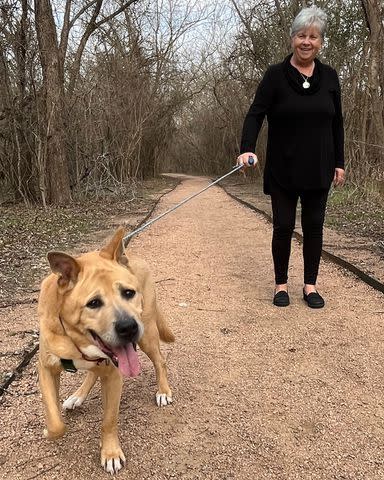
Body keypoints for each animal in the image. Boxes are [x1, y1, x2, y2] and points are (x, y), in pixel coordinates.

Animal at [37, 228, 174, 472]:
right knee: (93, 372)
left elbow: (109, 420)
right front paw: (49, 428)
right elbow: (55, 423)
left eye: (128, 293)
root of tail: (131, 258)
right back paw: (77, 396)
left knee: (160, 361)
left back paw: (163, 391)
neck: (75, 339)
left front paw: (110, 453)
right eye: (93, 303)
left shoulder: (113, 375)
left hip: (147, 335)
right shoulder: (46, 368)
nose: (128, 327)